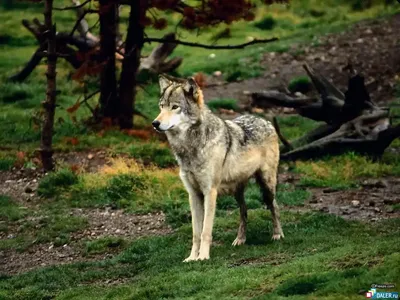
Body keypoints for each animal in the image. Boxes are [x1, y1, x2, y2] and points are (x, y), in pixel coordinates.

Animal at [152, 75, 282, 262]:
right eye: (162, 106)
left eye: (175, 107)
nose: (155, 123)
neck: (190, 148)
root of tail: (263, 120)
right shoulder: (193, 195)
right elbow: (196, 233)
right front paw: (192, 258)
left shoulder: (210, 192)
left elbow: (205, 230)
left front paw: (203, 257)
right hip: (237, 191)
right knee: (244, 212)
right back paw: (240, 239)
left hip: (267, 185)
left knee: (274, 206)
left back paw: (277, 234)